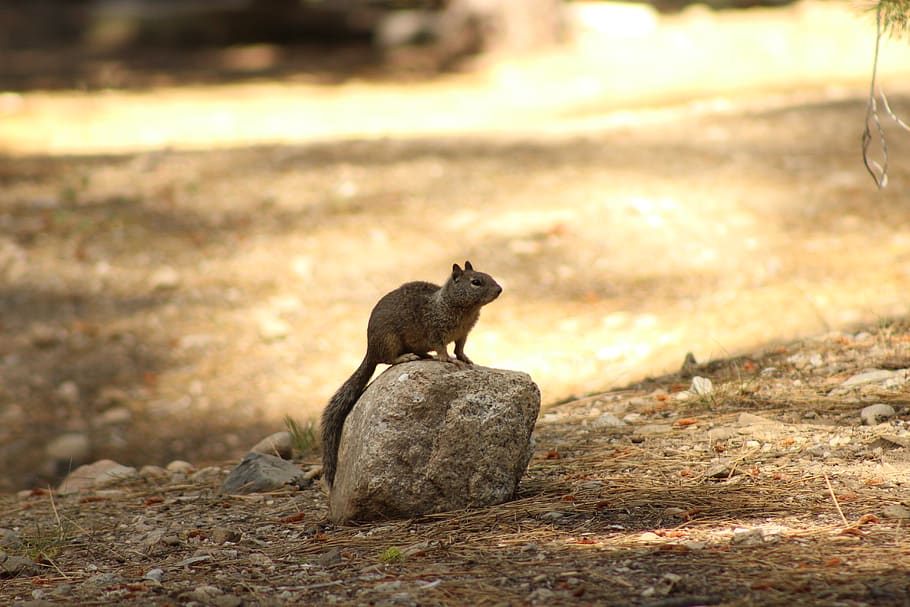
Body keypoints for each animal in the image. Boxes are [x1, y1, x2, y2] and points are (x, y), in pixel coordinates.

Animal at [320, 261, 502, 489]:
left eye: (488, 275)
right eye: (476, 282)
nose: (499, 289)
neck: (456, 306)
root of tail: (370, 350)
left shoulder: (463, 334)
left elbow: (460, 348)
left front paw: (465, 358)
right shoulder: (435, 332)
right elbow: (442, 349)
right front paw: (448, 359)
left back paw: (423, 355)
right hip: (389, 340)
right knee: (387, 359)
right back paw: (406, 357)